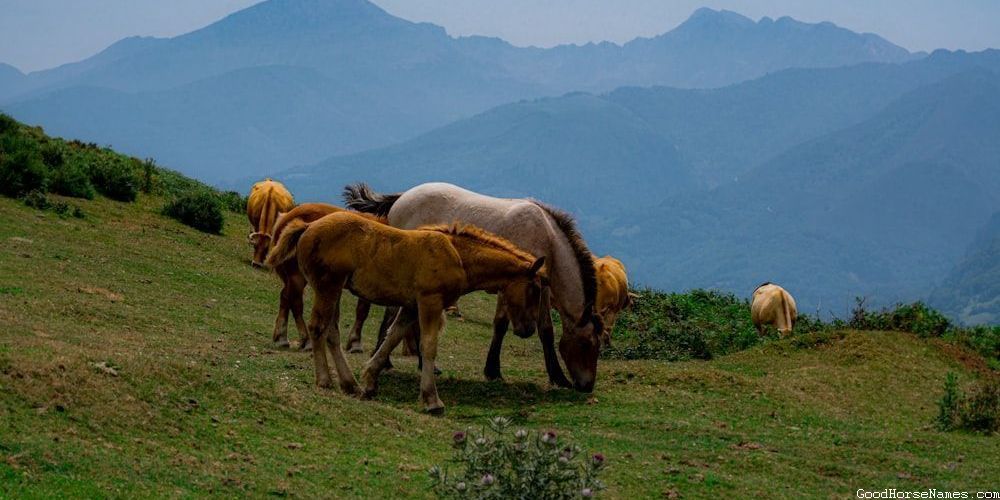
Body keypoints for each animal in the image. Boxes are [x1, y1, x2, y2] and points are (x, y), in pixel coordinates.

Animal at [265, 211, 547, 414]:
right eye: (534, 289)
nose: (527, 329)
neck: (457, 256)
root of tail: (307, 227)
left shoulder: (410, 307)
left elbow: (392, 338)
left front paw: (369, 381)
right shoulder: (429, 302)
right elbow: (428, 346)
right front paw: (432, 400)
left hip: (334, 290)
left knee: (331, 332)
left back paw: (350, 384)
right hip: (328, 287)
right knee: (318, 328)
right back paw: (324, 380)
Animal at [344, 182, 604, 392]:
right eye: (589, 344)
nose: (587, 386)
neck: (547, 237)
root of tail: (402, 197)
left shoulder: (541, 288)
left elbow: (546, 330)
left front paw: (558, 377)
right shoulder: (511, 285)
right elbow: (501, 324)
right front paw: (493, 370)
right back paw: (387, 360)